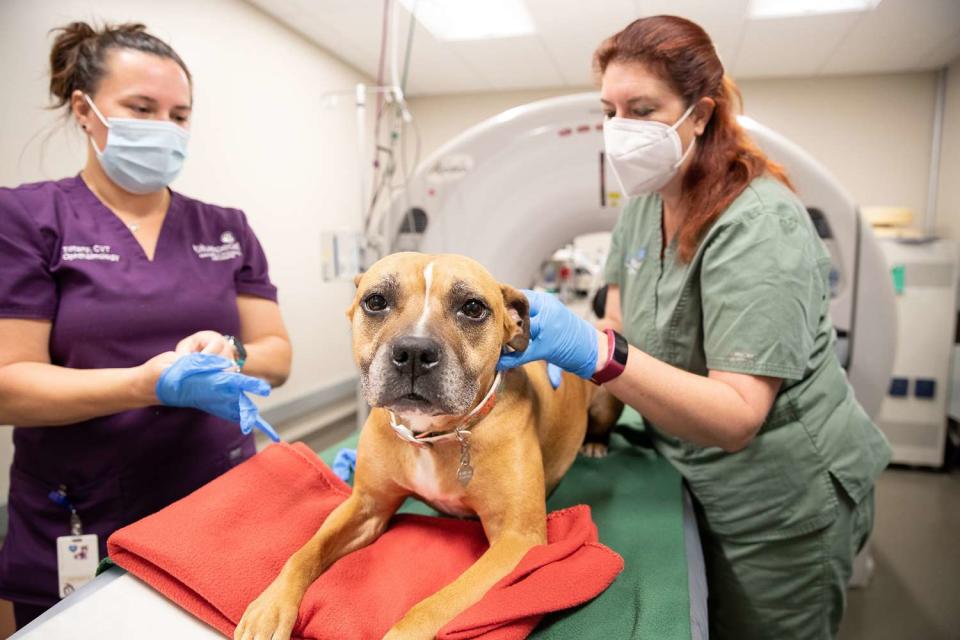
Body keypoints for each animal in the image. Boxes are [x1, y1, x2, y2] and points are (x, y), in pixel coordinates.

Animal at [235, 252, 620, 636]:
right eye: (376, 301)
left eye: (473, 307)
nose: (414, 351)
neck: (433, 435)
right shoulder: (367, 506)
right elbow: (304, 553)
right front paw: (270, 606)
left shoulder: (517, 540)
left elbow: (433, 606)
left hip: (606, 397)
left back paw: (596, 443)